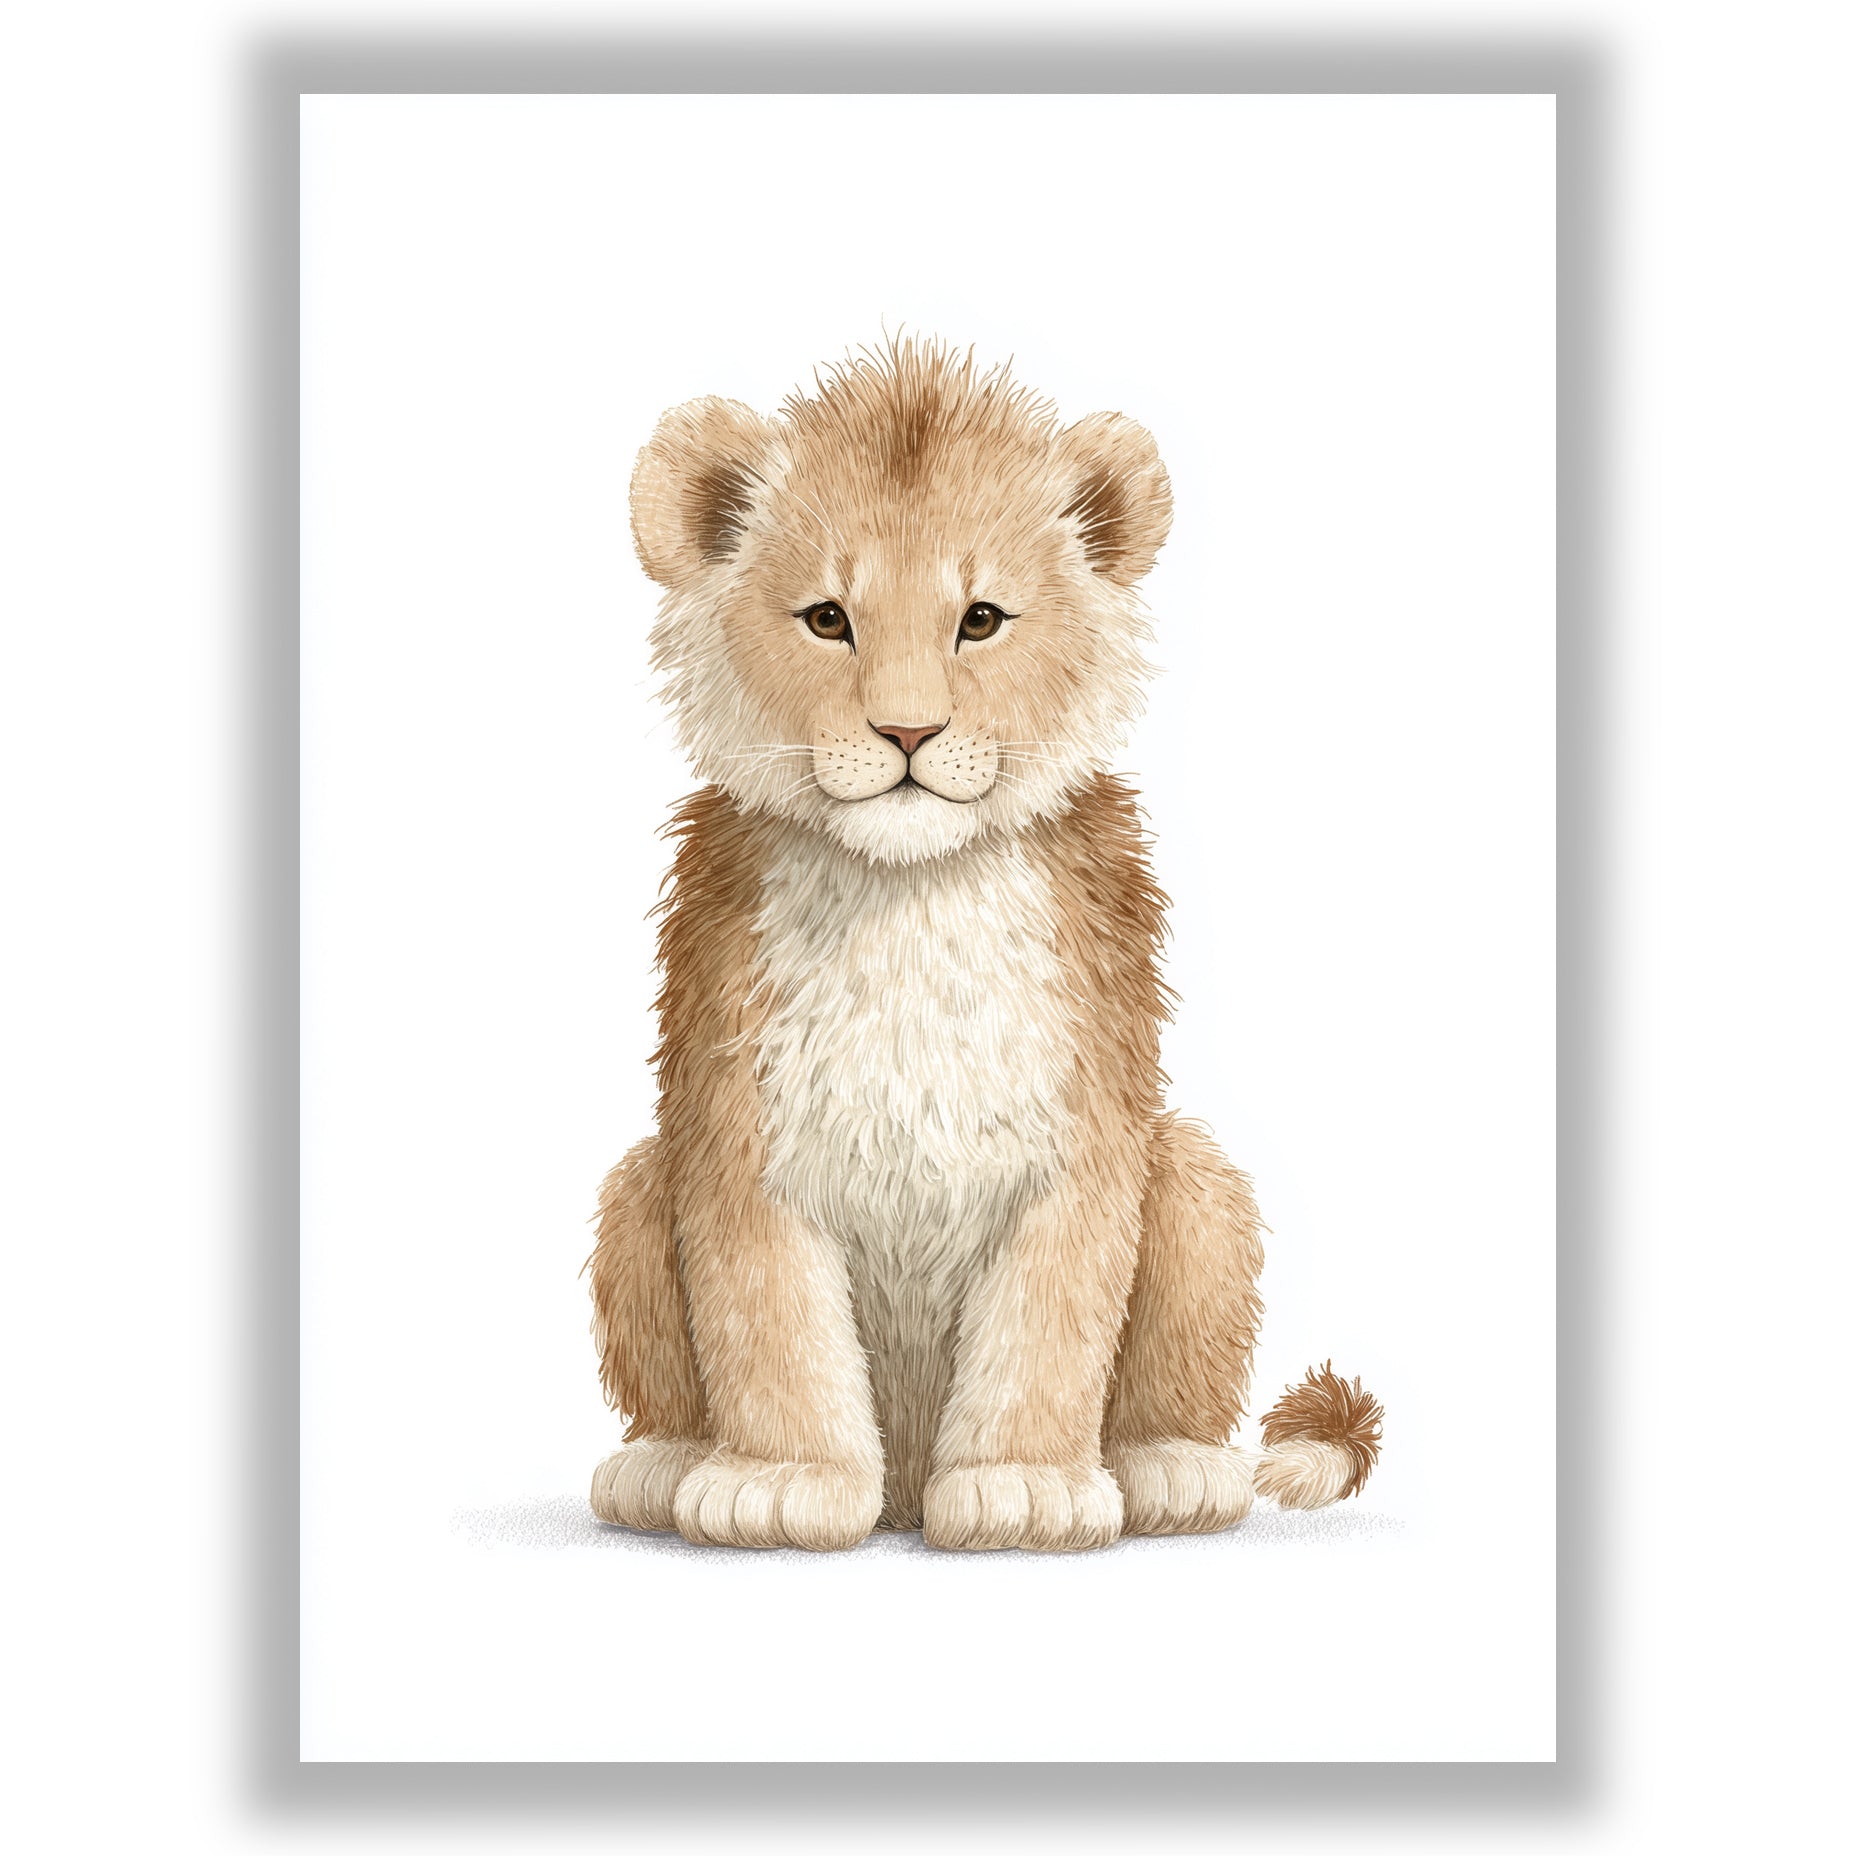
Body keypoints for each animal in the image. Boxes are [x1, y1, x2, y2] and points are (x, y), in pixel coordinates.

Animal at [587, 339, 1382, 1551]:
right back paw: (663, 1465)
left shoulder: (1082, 1139)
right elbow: (768, 1325)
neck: (909, 897)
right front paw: (781, 1483)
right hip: (639, 1181)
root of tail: (902, 1494)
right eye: (828, 618)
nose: (908, 732)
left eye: (981, 619)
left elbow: (1048, 1330)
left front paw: (1024, 1489)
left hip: (1196, 1177)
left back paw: (1170, 1469)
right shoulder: (735, 1138)